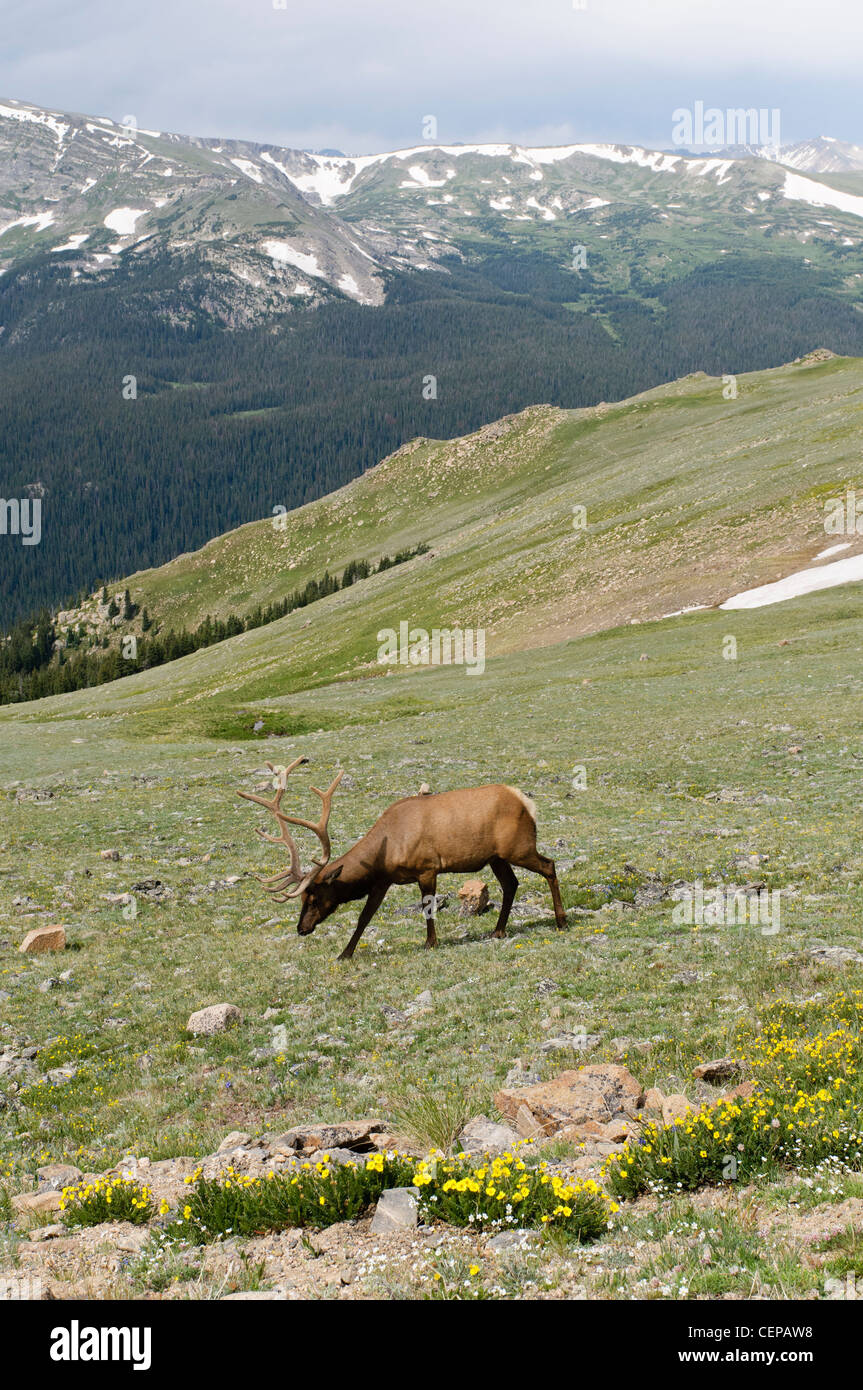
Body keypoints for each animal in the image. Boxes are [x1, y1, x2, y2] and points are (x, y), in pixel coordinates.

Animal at [237, 757, 567, 961]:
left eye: (315, 897)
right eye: (303, 899)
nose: (301, 928)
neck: (386, 851)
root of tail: (526, 802)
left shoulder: (427, 868)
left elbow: (427, 909)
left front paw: (430, 943)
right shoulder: (383, 880)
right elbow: (364, 917)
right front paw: (345, 953)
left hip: (518, 847)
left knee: (549, 865)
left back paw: (561, 921)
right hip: (496, 857)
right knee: (511, 884)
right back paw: (498, 930)